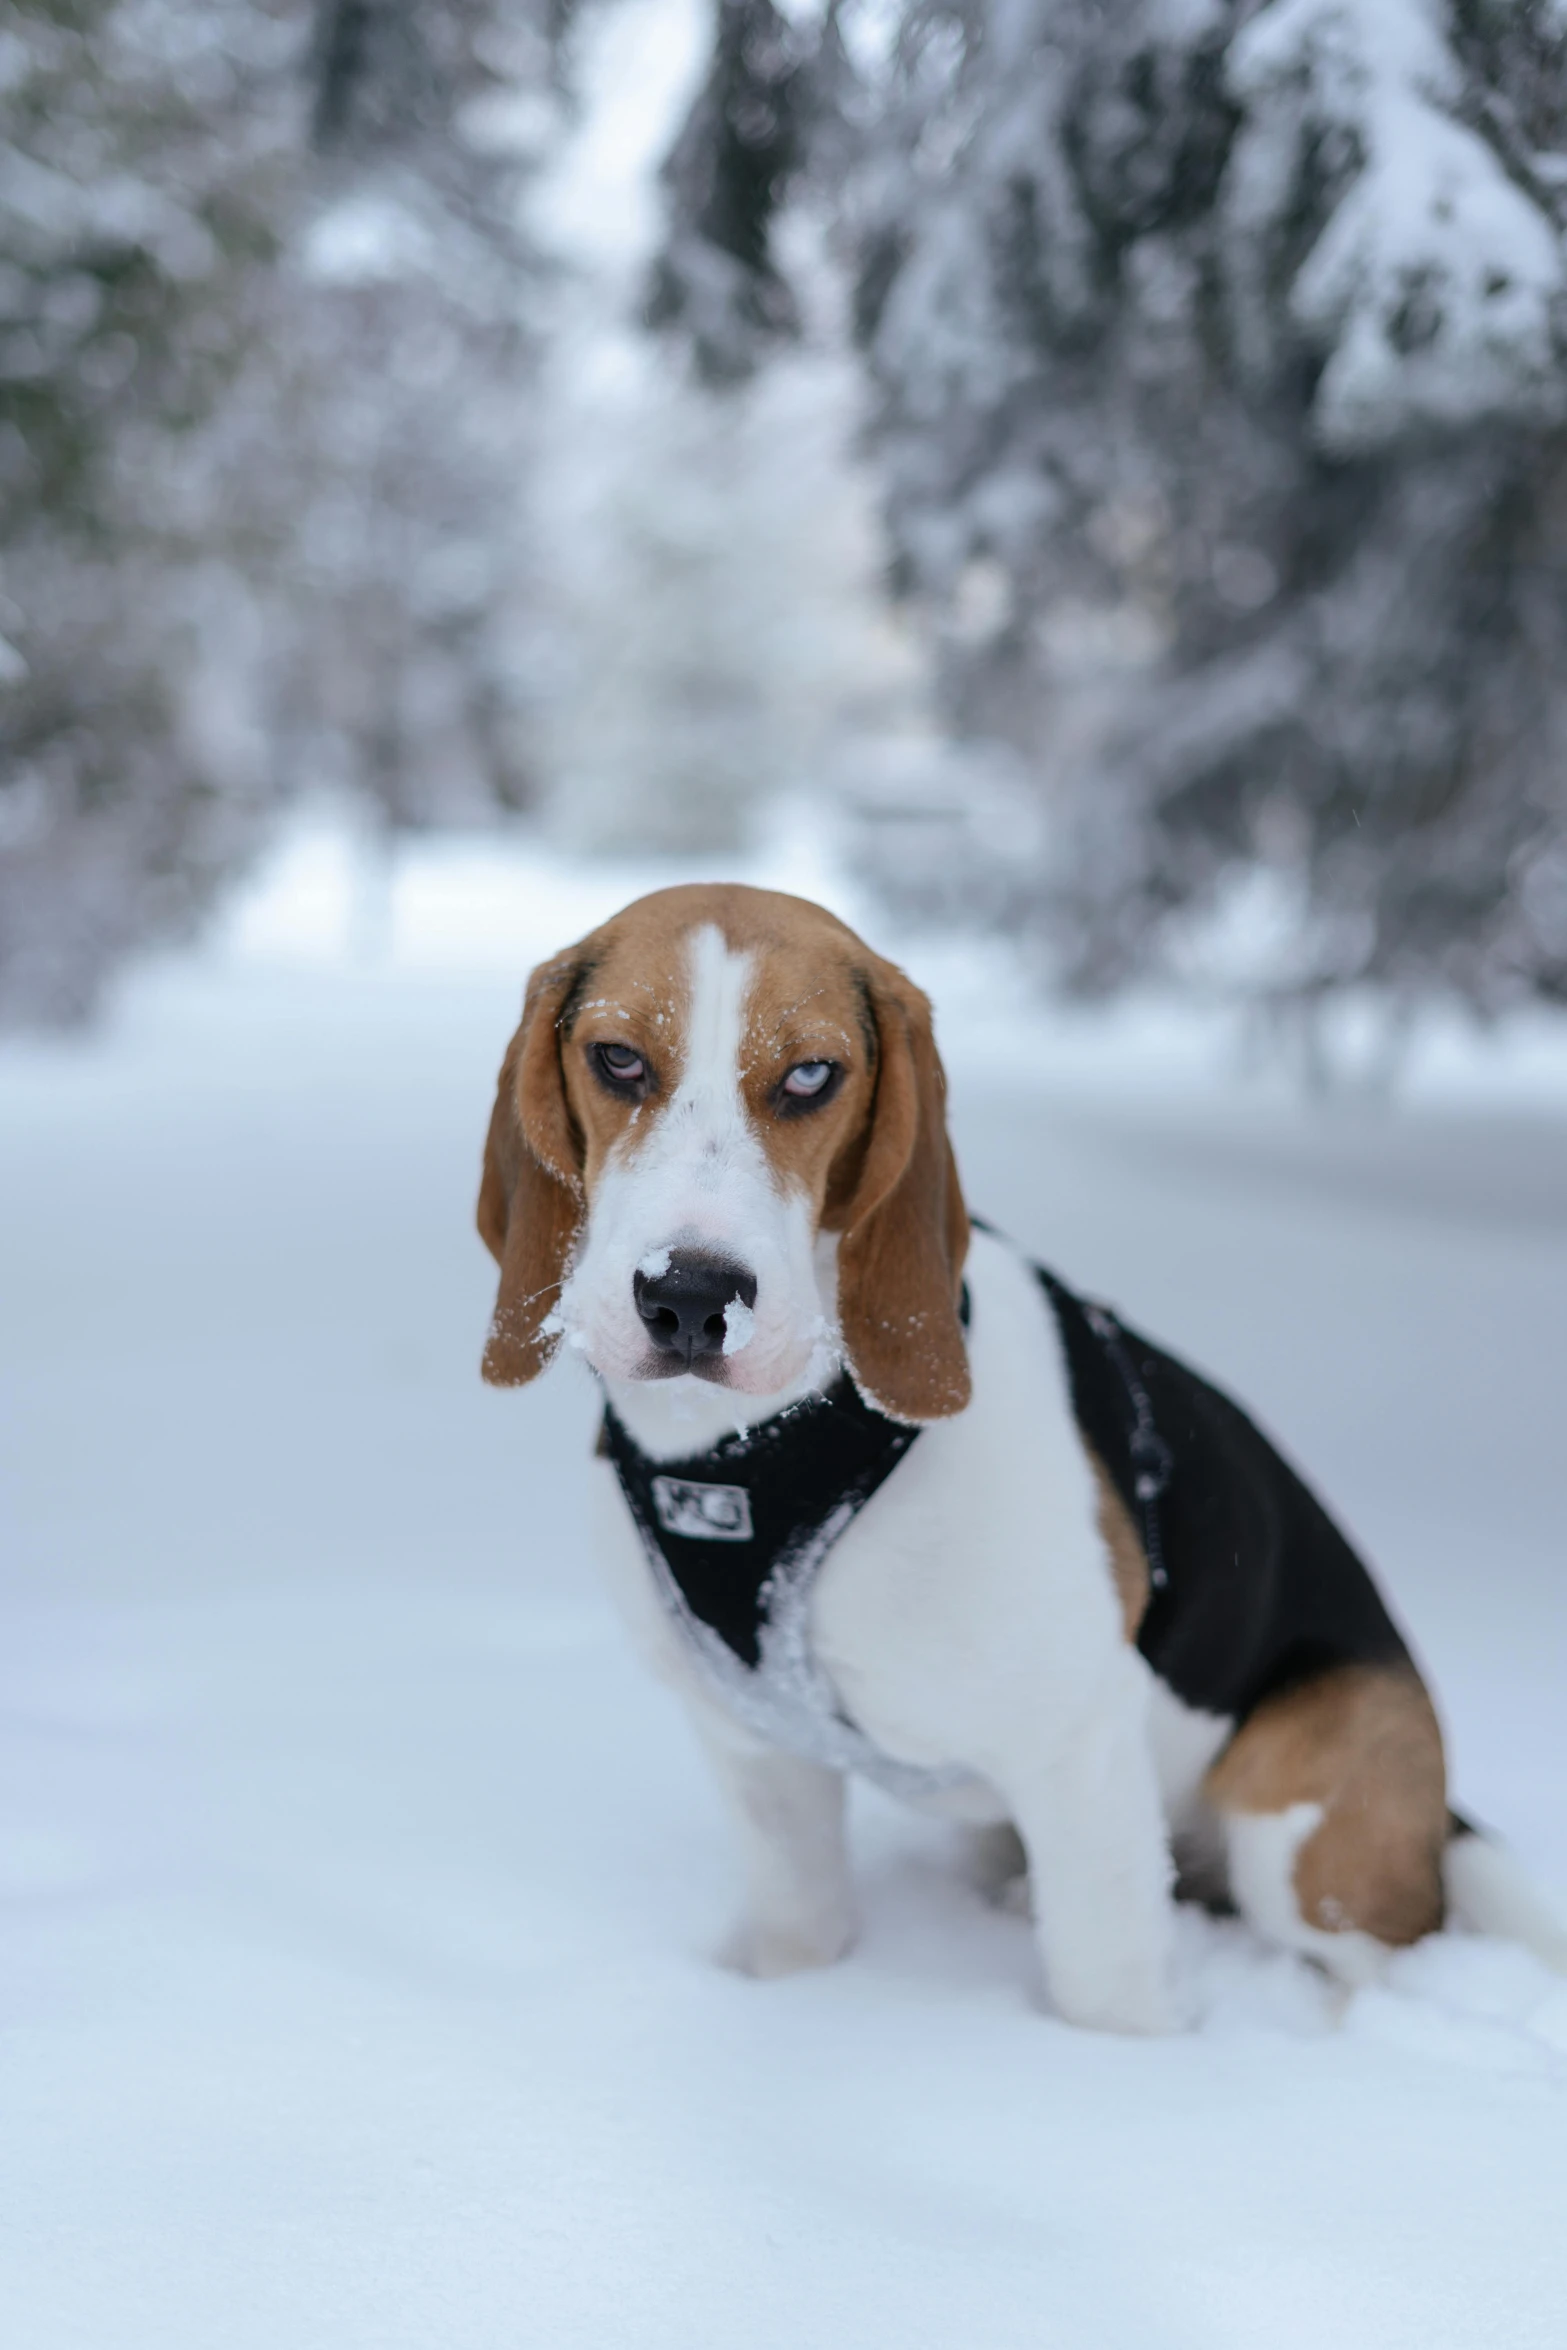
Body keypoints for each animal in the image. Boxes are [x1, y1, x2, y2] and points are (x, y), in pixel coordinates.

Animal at [479, 888, 1567, 2030]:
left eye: (811, 1075)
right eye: (617, 1060)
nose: (690, 1297)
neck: (753, 1451)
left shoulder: (1075, 1755)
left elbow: (1105, 1991)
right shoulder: (755, 1750)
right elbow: (797, 1933)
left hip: (1303, 1824)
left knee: (1372, 1959)